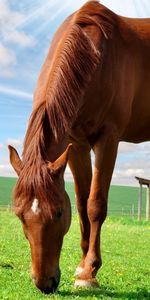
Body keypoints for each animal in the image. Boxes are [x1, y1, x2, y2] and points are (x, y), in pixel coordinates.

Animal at [8, 0, 150, 294]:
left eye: (59, 212)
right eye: (19, 215)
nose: (44, 283)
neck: (98, 55)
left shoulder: (108, 139)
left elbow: (96, 204)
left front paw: (89, 273)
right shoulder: (77, 145)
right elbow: (83, 205)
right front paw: (83, 265)